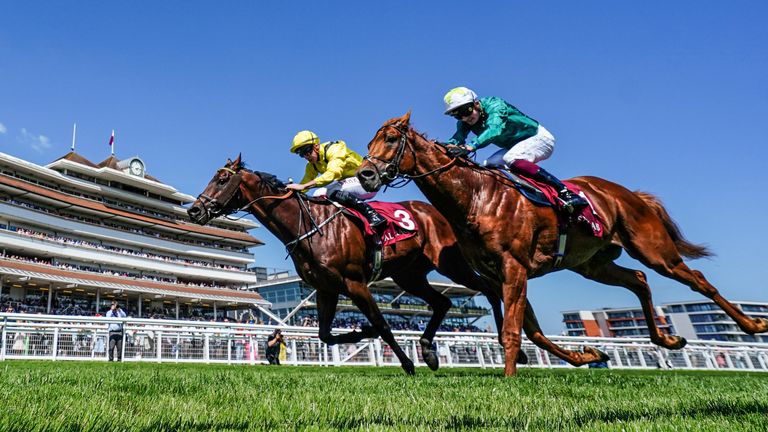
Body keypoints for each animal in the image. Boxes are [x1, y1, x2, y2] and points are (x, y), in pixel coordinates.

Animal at [188, 156, 608, 374]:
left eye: (221, 178)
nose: (195, 210)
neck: (307, 225)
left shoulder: (355, 283)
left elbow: (385, 326)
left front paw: (403, 361)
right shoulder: (325, 288)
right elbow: (326, 334)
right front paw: (359, 334)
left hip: (450, 264)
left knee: (488, 290)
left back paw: (510, 350)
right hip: (410, 274)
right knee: (443, 302)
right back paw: (430, 350)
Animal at [358, 113, 768, 376]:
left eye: (390, 139)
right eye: (369, 141)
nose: (365, 174)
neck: (475, 197)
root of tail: (627, 193)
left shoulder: (514, 267)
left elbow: (512, 329)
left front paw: (509, 379)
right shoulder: (498, 274)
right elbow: (531, 329)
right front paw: (585, 354)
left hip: (652, 248)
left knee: (696, 279)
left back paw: (752, 323)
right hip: (593, 263)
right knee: (637, 280)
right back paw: (666, 339)